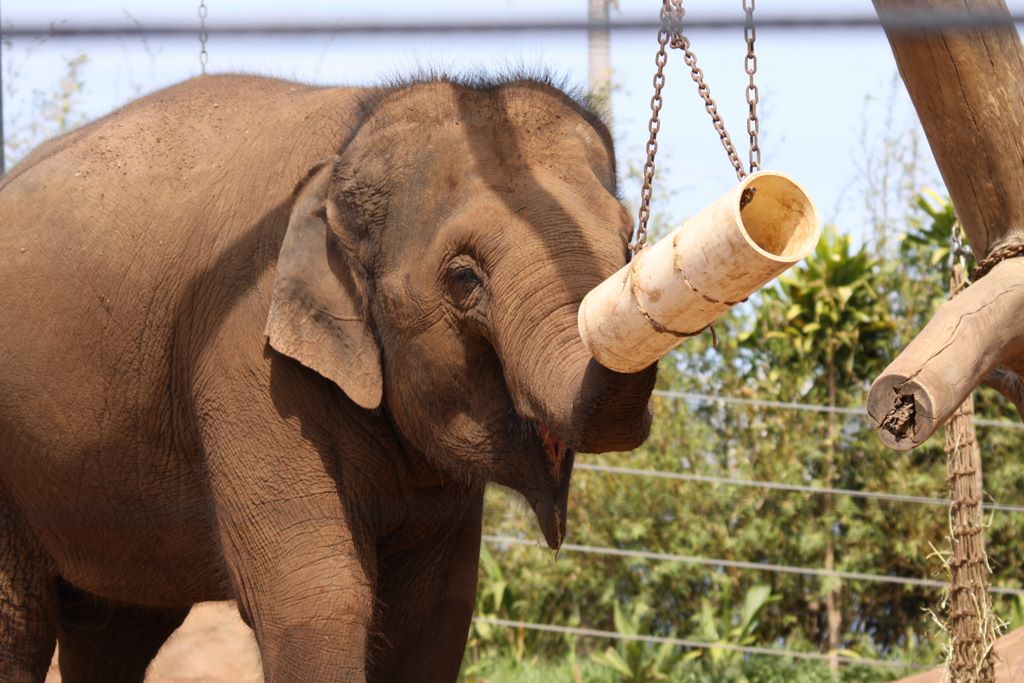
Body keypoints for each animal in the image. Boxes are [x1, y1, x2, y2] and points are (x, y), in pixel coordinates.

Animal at [0, 73, 656, 682]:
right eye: (464, 277)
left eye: (628, 241)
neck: (350, 138)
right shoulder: (247, 355)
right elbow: (317, 598)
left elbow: (434, 612)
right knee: (21, 625)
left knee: (116, 626)